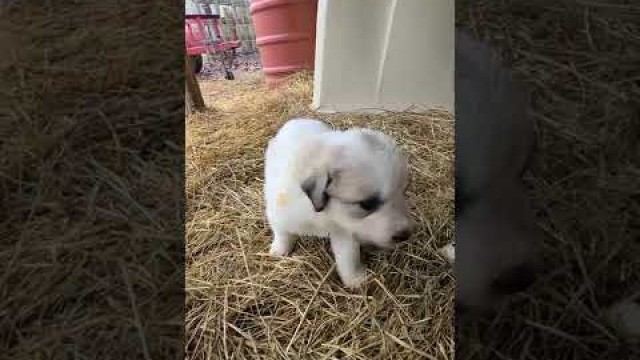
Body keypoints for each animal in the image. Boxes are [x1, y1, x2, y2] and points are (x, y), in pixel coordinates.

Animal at [264, 119, 418, 288]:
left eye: (402, 192)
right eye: (367, 204)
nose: (406, 235)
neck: (324, 215)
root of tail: (298, 120)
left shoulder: (345, 232)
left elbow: (348, 257)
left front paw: (355, 279)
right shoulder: (279, 214)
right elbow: (282, 234)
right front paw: (279, 250)